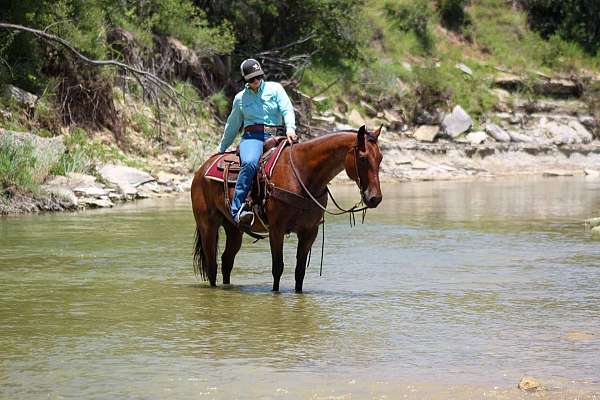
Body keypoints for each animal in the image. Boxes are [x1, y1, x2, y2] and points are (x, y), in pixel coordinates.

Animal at [190, 124, 382, 290]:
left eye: (380, 158)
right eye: (363, 158)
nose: (375, 198)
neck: (302, 174)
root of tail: (201, 170)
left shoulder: (310, 231)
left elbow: (300, 271)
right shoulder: (277, 229)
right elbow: (278, 268)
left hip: (234, 229)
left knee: (226, 262)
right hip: (208, 225)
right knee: (212, 265)